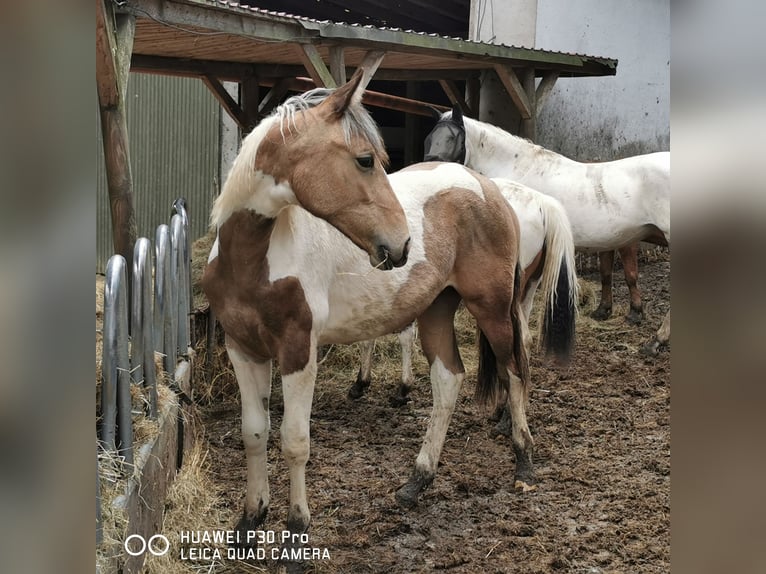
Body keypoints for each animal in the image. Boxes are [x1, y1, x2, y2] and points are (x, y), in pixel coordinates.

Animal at [202, 71, 534, 564]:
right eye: (364, 160)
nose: (402, 244)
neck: (254, 259)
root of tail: (484, 187)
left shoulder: (298, 352)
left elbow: (295, 442)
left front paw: (296, 535)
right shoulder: (243, 349)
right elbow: (254, 434)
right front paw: (248, 523)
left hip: (492, 308)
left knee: (514, 371)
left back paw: (524, 462)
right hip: (437, 309)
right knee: (448, 381)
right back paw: (417, 481)